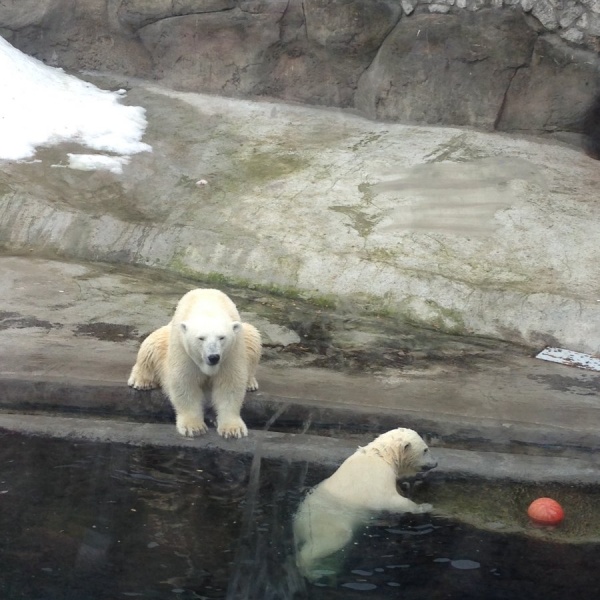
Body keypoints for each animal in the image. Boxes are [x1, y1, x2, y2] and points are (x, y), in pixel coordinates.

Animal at [127, 288, 262, 438]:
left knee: (253, 337)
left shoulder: (232, 350)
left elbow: (230, 383)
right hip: (164, 338)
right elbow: (184, 382)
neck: (207, 306)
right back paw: (141, 381)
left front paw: (232, 429)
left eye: (222, 337)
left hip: (247, 336)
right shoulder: (182, 347)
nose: (213, 357)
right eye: (201, 338)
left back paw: (250, 383)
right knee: (151, 343)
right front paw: (194, 427)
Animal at [294, 426, 436, 576]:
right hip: (326, 525)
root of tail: (297, 525)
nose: (435, 463)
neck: (382, 456)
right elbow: (391, 500)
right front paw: (425, 506)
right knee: (332, 540)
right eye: (425, 449)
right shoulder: (377, 477)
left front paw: (407, 486)